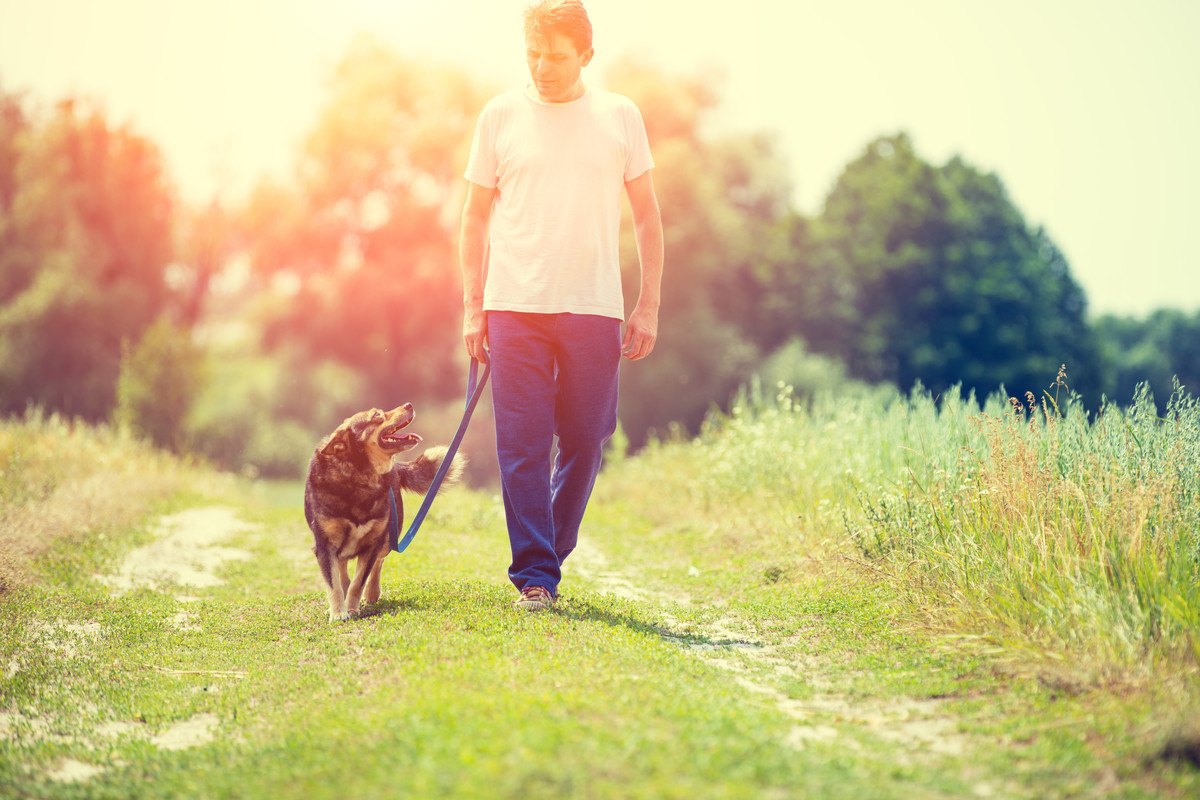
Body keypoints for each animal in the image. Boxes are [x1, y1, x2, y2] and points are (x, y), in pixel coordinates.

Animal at [304, 402, 463, 623]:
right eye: (377, 415)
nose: (409, 404)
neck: (360, 477)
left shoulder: (373, 542)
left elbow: (359, 582)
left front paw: (352, 608)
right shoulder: (324, 545)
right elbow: (334, 583)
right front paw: (338, 612)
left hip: (388, 537)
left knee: (377, 563)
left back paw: (372, 593)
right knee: (342, 567)